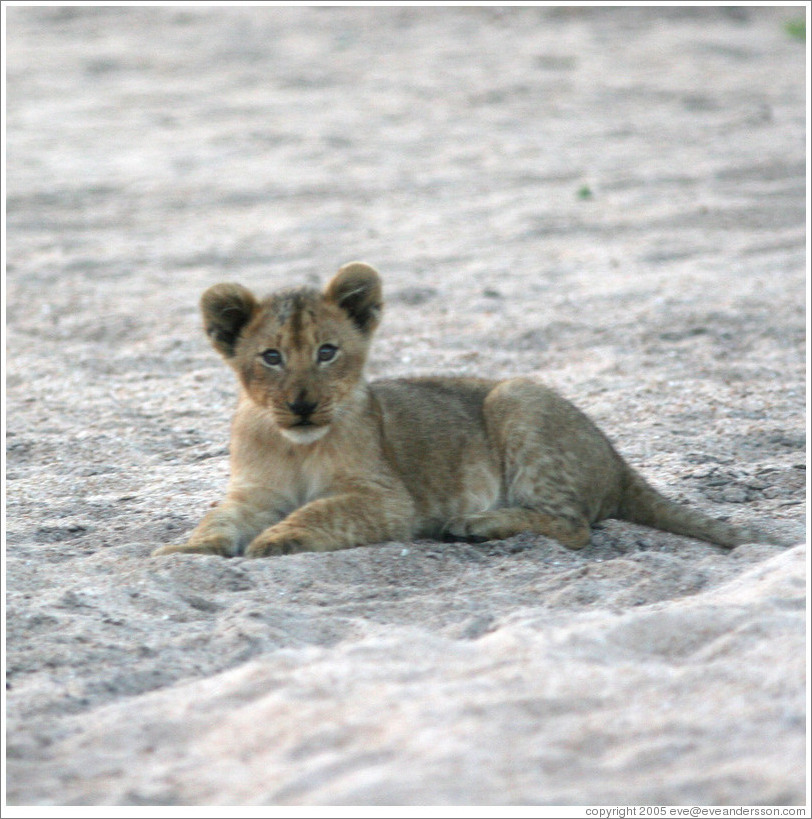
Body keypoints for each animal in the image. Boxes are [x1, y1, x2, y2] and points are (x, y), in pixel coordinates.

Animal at [153, 262, 782, 558]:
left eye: (327, 352)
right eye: (272, 357)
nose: (303, 405)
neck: (295, 446)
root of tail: (617, 458)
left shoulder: (388, 499)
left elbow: (318, 511)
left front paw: (277, 540)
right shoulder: (252, 494)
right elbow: (217, 519)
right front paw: (185, 548)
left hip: (518, 396)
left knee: (575, 526)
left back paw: (476, 525)